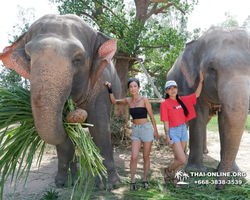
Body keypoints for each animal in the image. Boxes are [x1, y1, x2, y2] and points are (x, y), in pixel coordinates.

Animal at [0, 14, 121, 189]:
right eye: (29, 58)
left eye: (78, 59)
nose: (73, 116)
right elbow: (65, 139)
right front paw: (65, 182)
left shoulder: (101, 85)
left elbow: (99, 127)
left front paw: (109, 185)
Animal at [168, 27, 250, 189]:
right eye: (212, 69)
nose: (219, 188)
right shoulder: (190, 83)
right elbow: (198, 115)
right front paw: (195, 171)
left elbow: (224, 120)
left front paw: (235, 173)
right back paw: (184, 150)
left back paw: (205, 151)